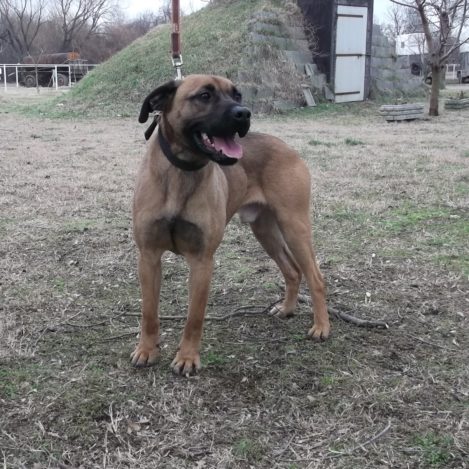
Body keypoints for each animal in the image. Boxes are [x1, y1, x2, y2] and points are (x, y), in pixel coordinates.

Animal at [132, 74, 330, 375]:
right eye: (204, 95)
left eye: (237, 95)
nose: (244, 114)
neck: (181, 172)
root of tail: (287, 148)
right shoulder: (149, 256)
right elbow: (149, 312)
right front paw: (146, 350)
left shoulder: (202, 261)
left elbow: (194, 317)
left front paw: (187, 358)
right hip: (265, 231)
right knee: (293, 271)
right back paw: (286, 309)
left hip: (294, 226)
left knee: (315, 277)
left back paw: (321, 326)